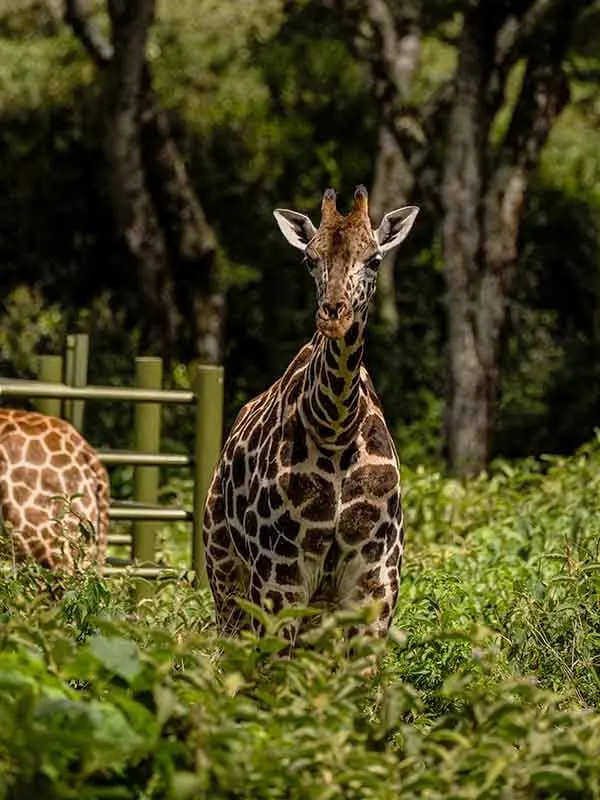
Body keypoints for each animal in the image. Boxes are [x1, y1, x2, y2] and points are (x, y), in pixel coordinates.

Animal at [203, 185, 419, 645]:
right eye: (309, 258)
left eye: (374, 258)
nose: (333, 313)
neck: (336, 429)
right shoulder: (278, 575)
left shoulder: (376, 579)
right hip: (225, 573)